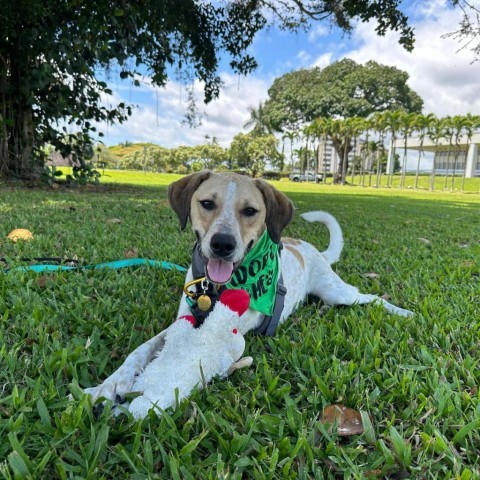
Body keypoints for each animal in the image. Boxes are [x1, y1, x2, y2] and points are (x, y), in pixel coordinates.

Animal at [83, 171, 412, 404]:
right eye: (207, 203)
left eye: (250, 211)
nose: (222, 244)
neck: (215, 290)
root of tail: (310, 249)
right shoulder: (181, 319)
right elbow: (140, 350)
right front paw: (111, 384)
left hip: (336, 293)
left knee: (368, 296)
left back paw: (403, 312)